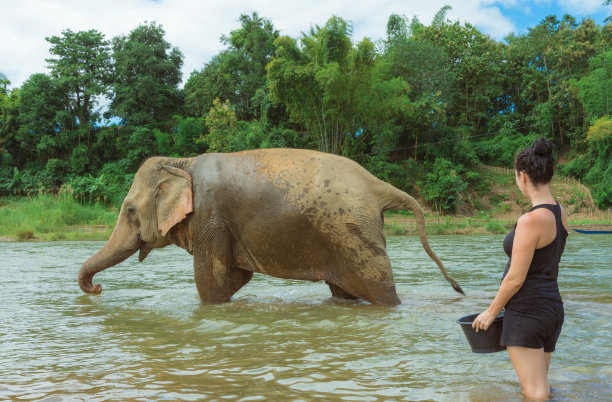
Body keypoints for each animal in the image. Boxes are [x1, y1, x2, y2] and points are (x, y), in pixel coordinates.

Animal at [80, 148, 464, 304]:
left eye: (130, 210)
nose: (97, 289)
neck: (182, 161)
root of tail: (377, 185)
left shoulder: (209, 217)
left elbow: (211, 283)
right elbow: (235, 276)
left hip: (354, 236)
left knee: (382, 294)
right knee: (344, 292)